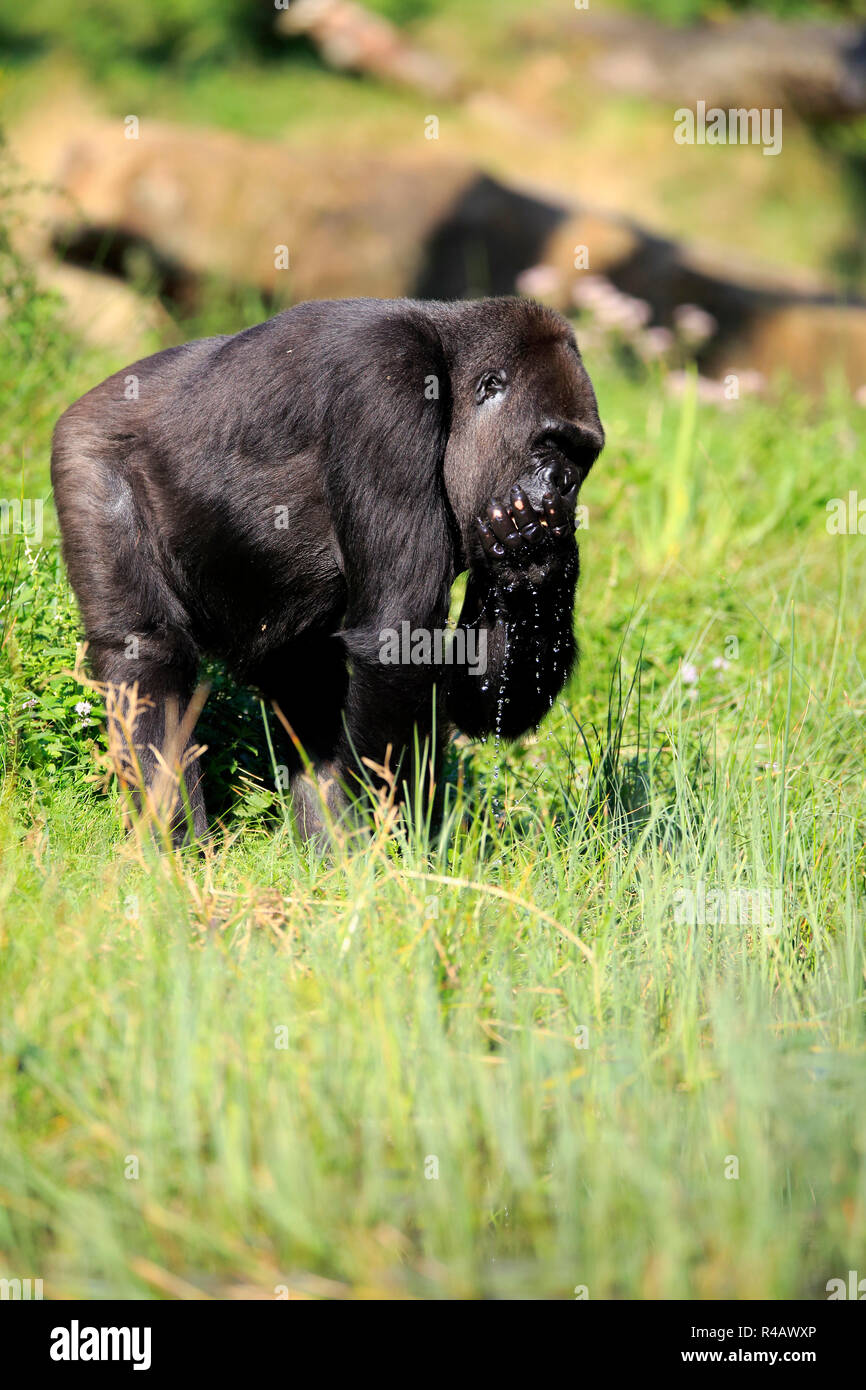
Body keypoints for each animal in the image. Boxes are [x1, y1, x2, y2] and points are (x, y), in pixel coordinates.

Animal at [52, 298, 603, 839]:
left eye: (583, 455)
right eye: (550, 442)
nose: (564, 484)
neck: (448, 366)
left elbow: (478, 699)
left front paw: (537, 562)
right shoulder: (385, 382)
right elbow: (397, 638)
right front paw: (393, 844)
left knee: (306, 680)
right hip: (86, 455)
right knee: (145, 653)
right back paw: (174, 842)